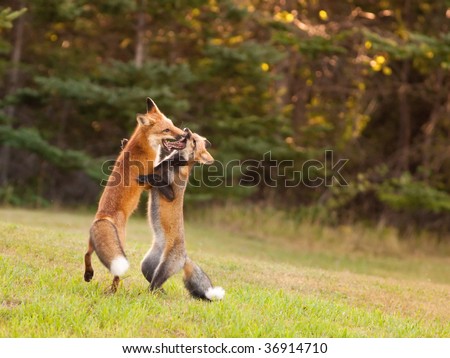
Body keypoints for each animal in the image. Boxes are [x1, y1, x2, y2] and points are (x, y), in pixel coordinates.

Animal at [84, 96, 186, 292]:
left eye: (173, 124)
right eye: (167, 130)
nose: (184, 135)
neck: (143, 146)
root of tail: (104, 216)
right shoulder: (146, 183)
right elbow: (157, 170)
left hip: (94, 243)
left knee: (86, 254)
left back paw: (88, 275)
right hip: (120, 247)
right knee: (115, 272)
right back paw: (113, 289)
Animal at [138, 129, 224, 300]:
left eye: (194, 142)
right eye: (194, 136)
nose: (187, 131)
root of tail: (184, 257)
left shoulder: (170, 194)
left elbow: (155, 178)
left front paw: (144, 176)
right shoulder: (152, 181)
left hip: (162, 269)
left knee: (154, 287)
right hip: (147, 267)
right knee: (157, 286)